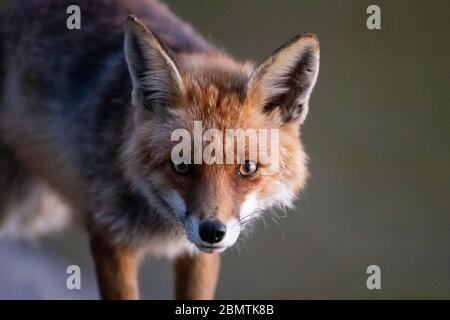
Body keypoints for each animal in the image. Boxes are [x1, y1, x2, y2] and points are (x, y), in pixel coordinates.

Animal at [0, 0, 320, 300]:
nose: (213, 232)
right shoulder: (110, 234)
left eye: (248, 167)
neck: (162, 223)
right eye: (181, 165)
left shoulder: (196, 254)